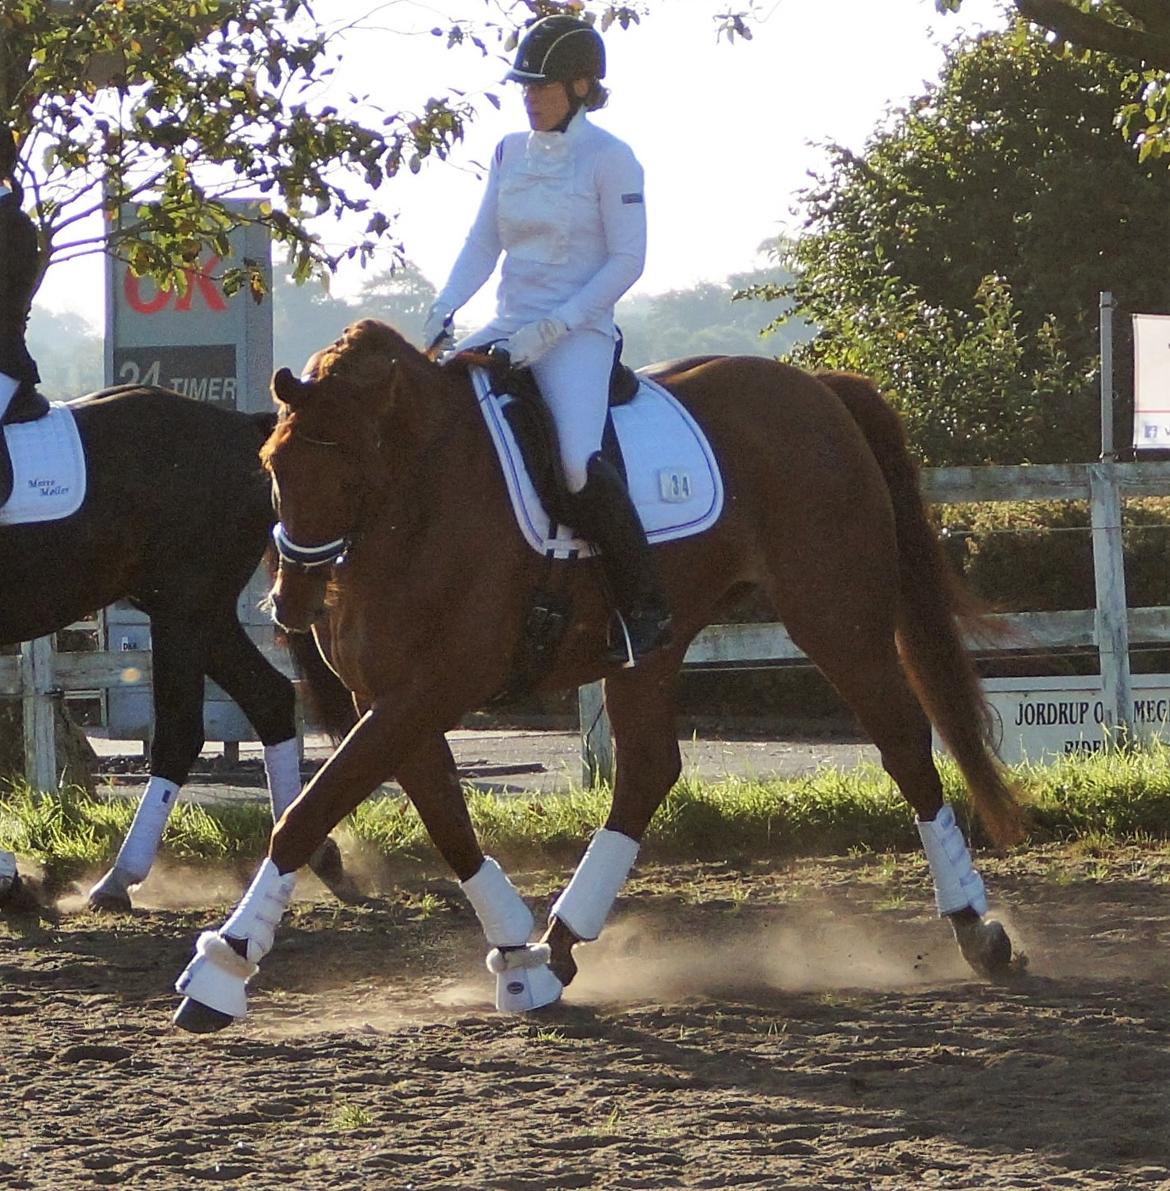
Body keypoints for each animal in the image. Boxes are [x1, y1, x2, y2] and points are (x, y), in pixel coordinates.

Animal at [0, 385, 352, 905]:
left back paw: (119, 878)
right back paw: (310, 851)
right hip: (203, 616)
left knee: (180, 734)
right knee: (269, 698)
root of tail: (241, 428)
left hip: (183, 612)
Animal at [173, 319, 1024, 1033]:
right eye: (273, 467)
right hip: (654, 644)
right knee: (648, 769)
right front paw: (518, 961)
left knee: (905, 743)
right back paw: (561, 942)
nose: (290, 602)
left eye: (347, 470)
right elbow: (448, 824)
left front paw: (222, 969)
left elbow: (307, 814)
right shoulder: (387, 698)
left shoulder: (429, 689)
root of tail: (817, 388)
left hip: (837, 618)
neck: (417, 497)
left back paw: (976, 927)